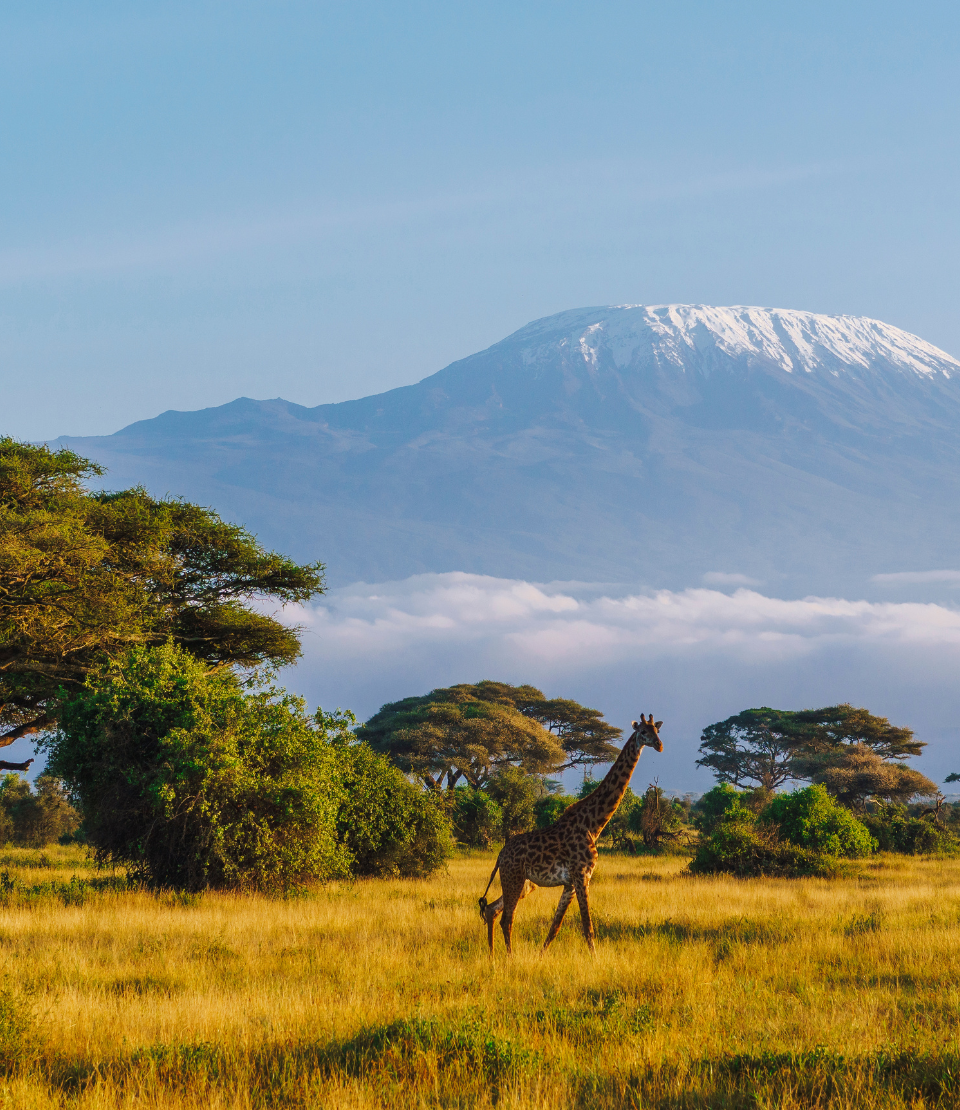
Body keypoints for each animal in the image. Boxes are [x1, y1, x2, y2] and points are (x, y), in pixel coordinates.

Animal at [478, 714, 663, 954]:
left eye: (657, 731)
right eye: (643, 732)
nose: (659, 745)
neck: (593, 825)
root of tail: (500, 855)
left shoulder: (570, 883)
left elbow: (554, 928)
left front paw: (541, 956)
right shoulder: (582, 876)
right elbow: (588, 928)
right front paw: (595, 960)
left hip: (525, 883)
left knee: (492, 909)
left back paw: (492, 956)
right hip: (514, 877)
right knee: (507, 918)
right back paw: (509, 958)